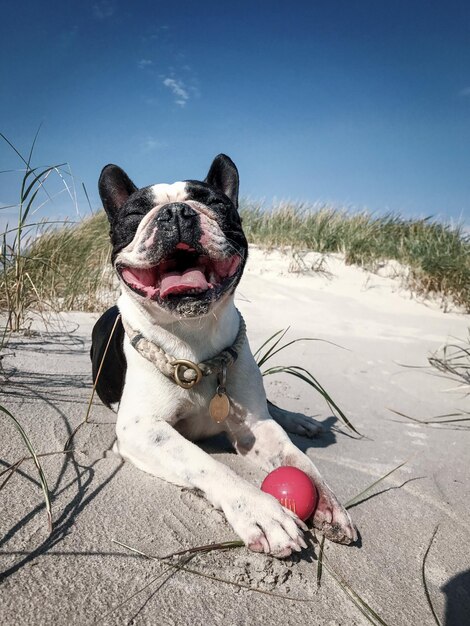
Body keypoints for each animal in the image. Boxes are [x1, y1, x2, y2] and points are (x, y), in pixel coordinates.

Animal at [91, 156, 356, 556]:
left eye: (216, 204)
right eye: (135, 213)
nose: (176, 211)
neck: (193, 339)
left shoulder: (255, 428)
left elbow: (298, 460)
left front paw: (327, 499)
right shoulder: (143, 430)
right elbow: (204, 463)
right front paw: (261, 510)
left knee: (273, 410)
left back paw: (300, 420)